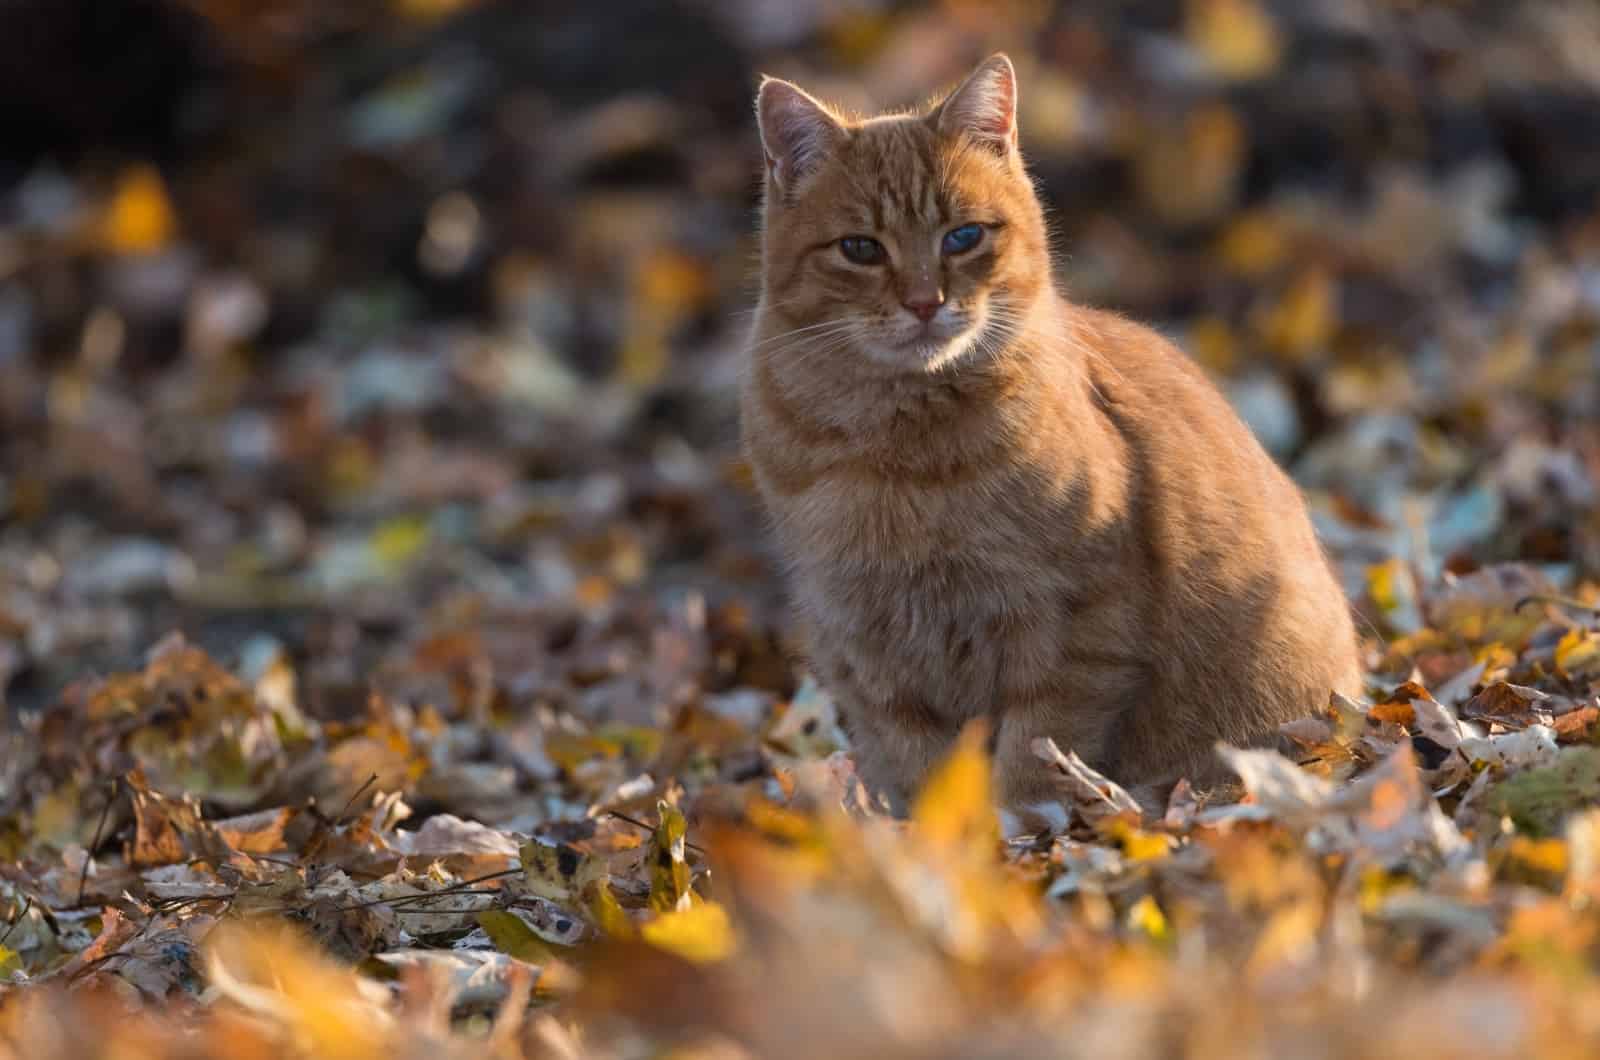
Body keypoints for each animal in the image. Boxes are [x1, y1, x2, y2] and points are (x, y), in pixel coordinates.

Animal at [745, 54, 1363, 832]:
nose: (924, 302)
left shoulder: (1075, 624)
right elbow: (920, 762)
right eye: (860, 248)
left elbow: (1038, 748)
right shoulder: (867, 647)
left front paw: (1016, 831)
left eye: (962, 237)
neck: (907, 458)